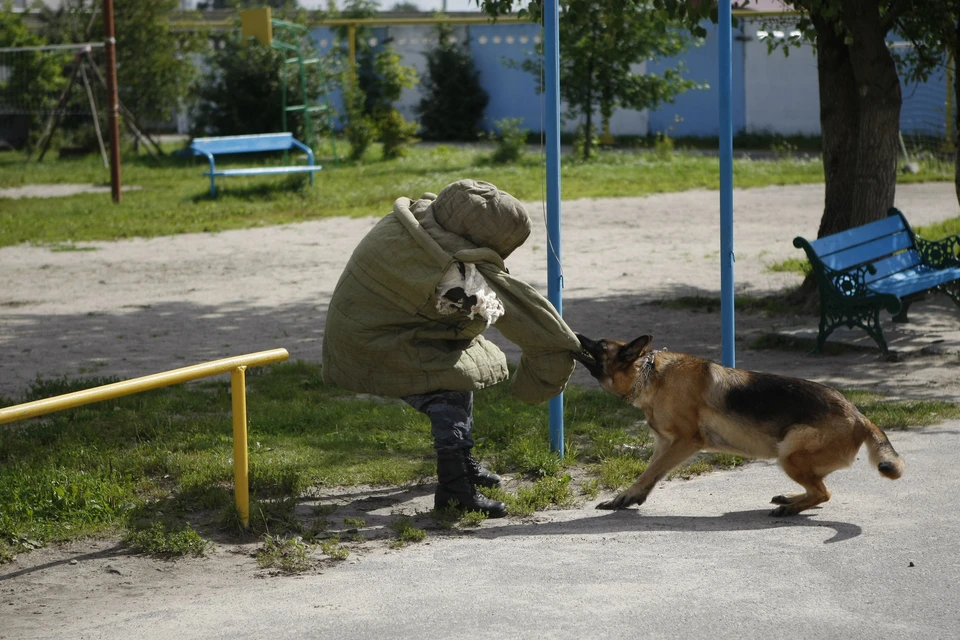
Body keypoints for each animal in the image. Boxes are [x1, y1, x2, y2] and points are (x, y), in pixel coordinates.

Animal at [572, 336, 904, 516]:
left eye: (599, 345)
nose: (575, 334)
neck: (650, 374)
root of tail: (859, 416)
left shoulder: (685, 442)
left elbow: (651, 471)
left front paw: (627, 497)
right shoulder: (664, 443)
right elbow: (650, 473)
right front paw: (629, 497)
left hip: (789, 453)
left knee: (824, 493)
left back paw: (790, 507)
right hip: (796, 458)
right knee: (819, 489)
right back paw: (791, 499)